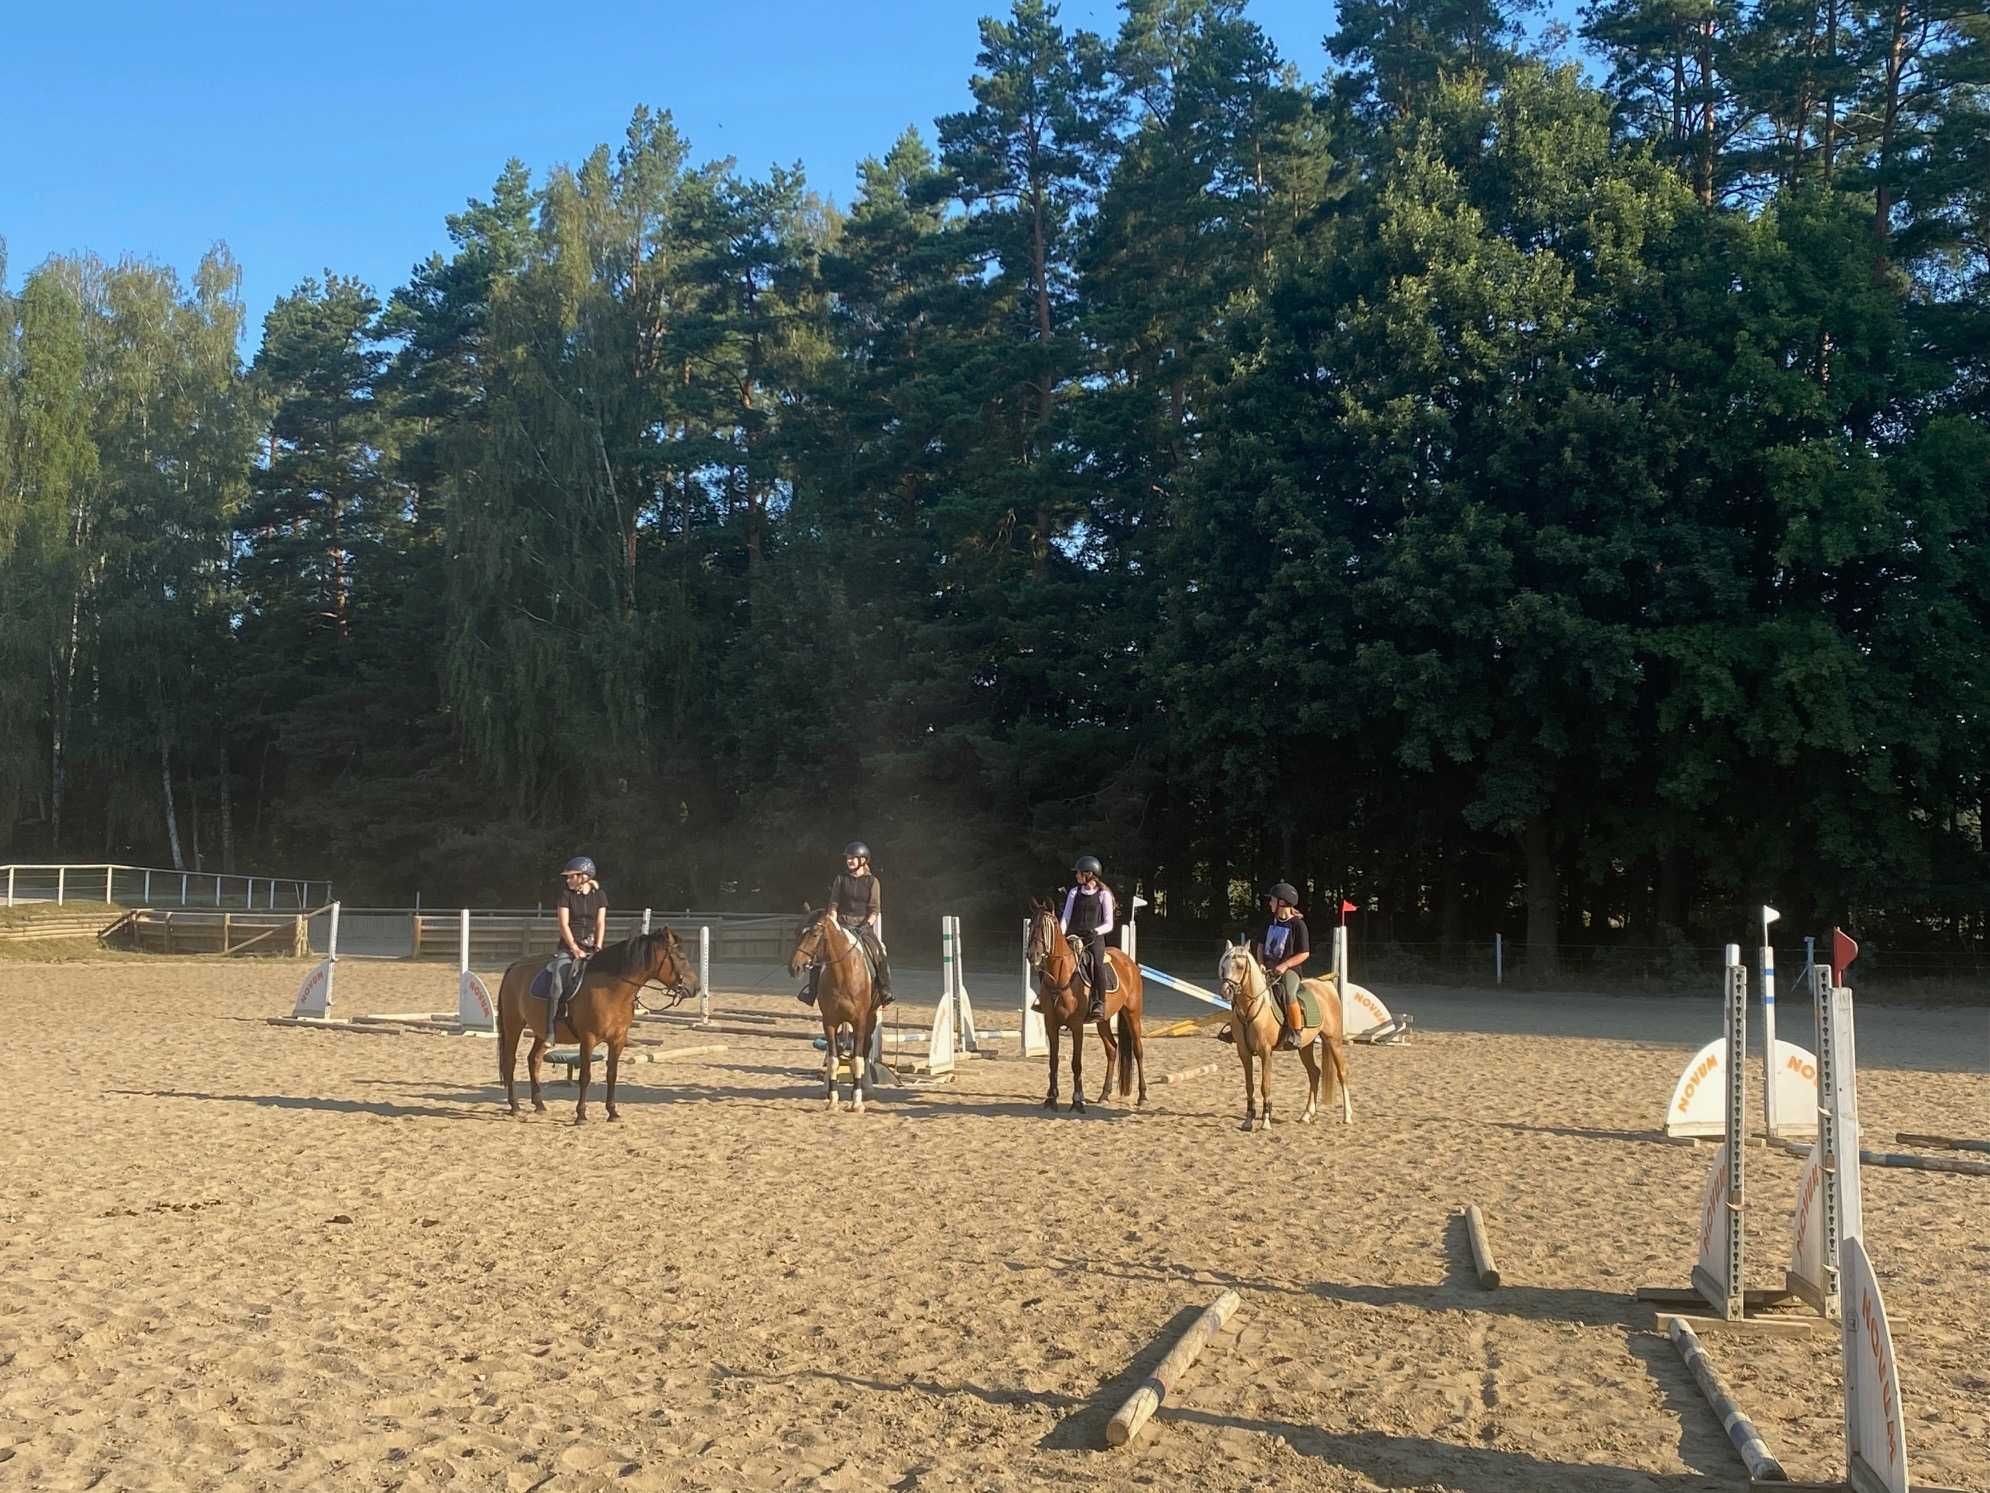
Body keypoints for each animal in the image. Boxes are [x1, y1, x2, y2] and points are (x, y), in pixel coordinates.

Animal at [495, 931, 700, 1130]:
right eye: (681, 956)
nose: (696, 987)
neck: (611, 990)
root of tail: (515, 966)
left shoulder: (617, 1040)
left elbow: (612, 1075)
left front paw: (613, 1112)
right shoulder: (588, 1039)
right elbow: (585, 1076)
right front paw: (581, 1116)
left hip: (541, 1031)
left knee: (534, 1060)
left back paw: (539, 1105)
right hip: (513, 1024)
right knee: (510, 1061)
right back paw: (515, 1107)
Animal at [788, 907, 883, 1114]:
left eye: (815, 934)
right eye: (797, 931)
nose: (794, 968)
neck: (843, 973)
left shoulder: (860, 1021)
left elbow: (857, 1059)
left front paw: (857, 1102)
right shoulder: (830, 1023)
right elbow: (833, 1060)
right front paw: (832, 1101)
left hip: (871, 1019)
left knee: (865, 1051)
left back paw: (867, 1088)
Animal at [1026, 895, 1154, 1114]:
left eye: (1049, 926)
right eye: (1031, 925)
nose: (1032, 955)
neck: (1061, 976)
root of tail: (1129, 962)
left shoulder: (1077, 1026)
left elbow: (1076, 1063)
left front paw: (1078, 1100)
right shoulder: (1051, 1023)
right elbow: (1053, 1061)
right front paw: (1051, 1098)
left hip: (1132, 1013)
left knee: (1138, 1050)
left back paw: (1143, 1096)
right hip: (1103, 1020)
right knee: (1112, 1049)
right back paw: (1105, 1094)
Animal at [1209, 947, 1353, 1130]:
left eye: (1240, 966)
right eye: (1223, 966)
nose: (1225, 992)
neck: (1252, 1008)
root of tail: (1327, 986)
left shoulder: (1266, 1052)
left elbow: (1265, 1085)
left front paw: (1266, 1120)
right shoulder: (1244, 1052)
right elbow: (1249, 1086)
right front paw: (1248, 1120)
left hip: (1333, 1040)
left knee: (1342, 1073)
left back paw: (1347, 1116)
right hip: (1305, 1046)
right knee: (1314, 1073)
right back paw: (1306, 1115)